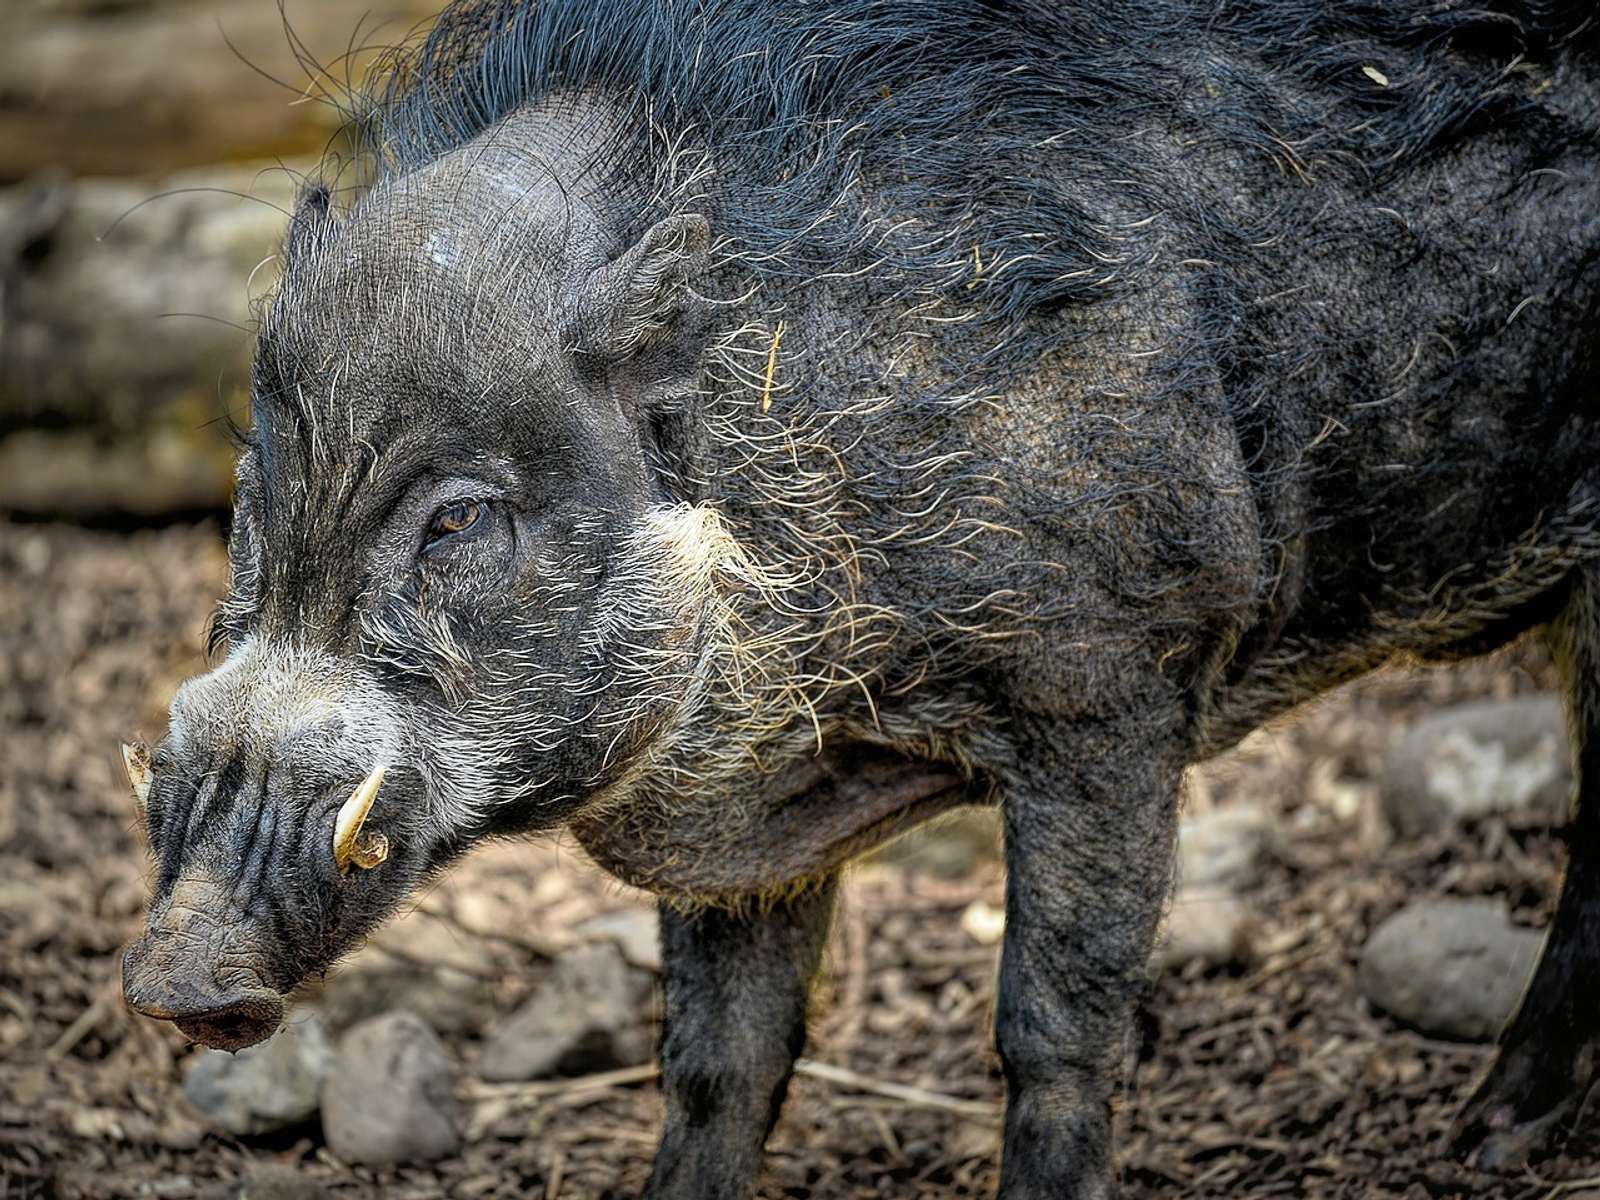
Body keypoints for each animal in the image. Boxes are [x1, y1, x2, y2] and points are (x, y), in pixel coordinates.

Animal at [119, 0, 1600, 1195]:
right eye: (254, 480)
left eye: (460, 518)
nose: (179, 979)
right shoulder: (747, 822)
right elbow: (718, 1060)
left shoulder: (1116, 683)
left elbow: (1056, 1027)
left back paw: (1489, 1140)